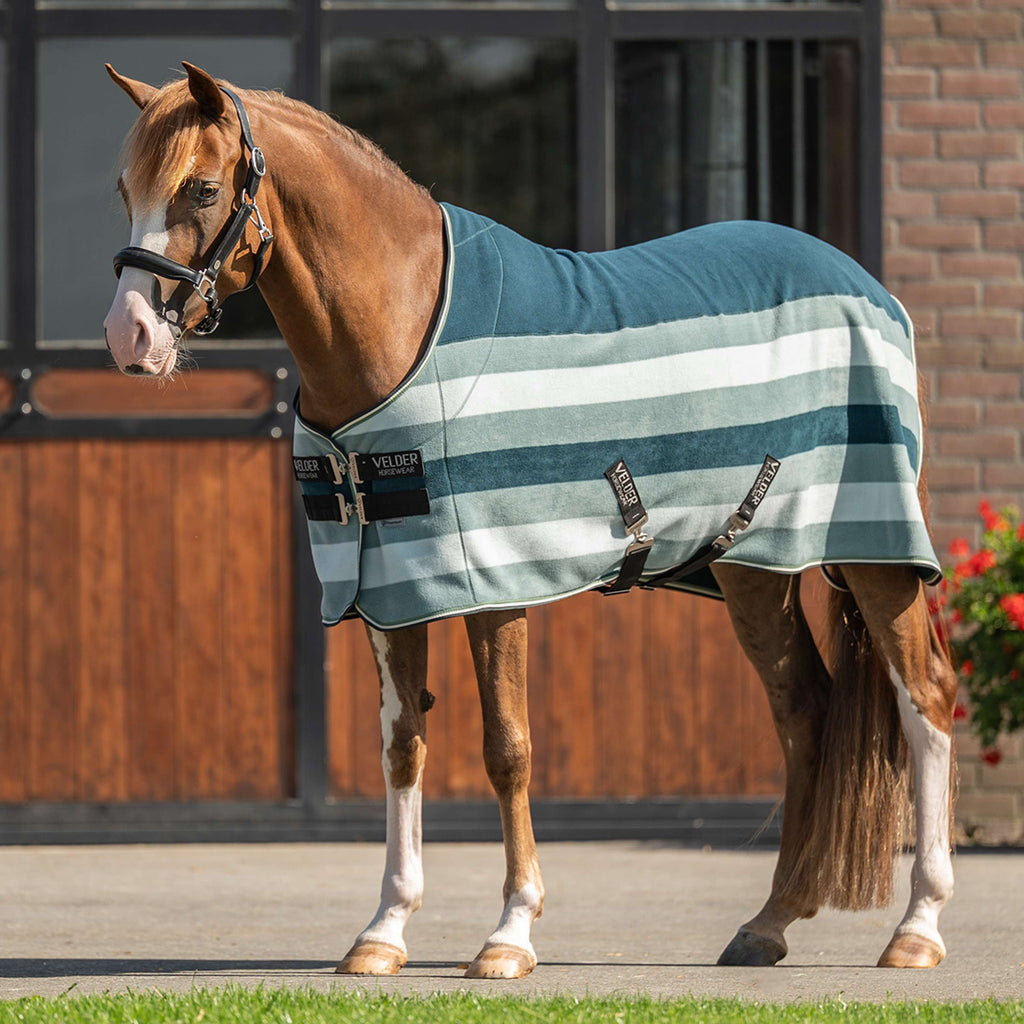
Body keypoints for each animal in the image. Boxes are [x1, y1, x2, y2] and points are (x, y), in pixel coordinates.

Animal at [103, 62, 957, 979]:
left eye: (201, 187)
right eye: (125, 188)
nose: (129, 336)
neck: (400, 328)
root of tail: (873, 294)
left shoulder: (493, 586)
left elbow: (506, 749)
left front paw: (510, 934)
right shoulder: (388, 591)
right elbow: (401, 745)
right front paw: (382, 933)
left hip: (876, 557)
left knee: (926, 704)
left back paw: (918, 929)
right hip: (751, 570)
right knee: (804, 714)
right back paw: (769, 922)